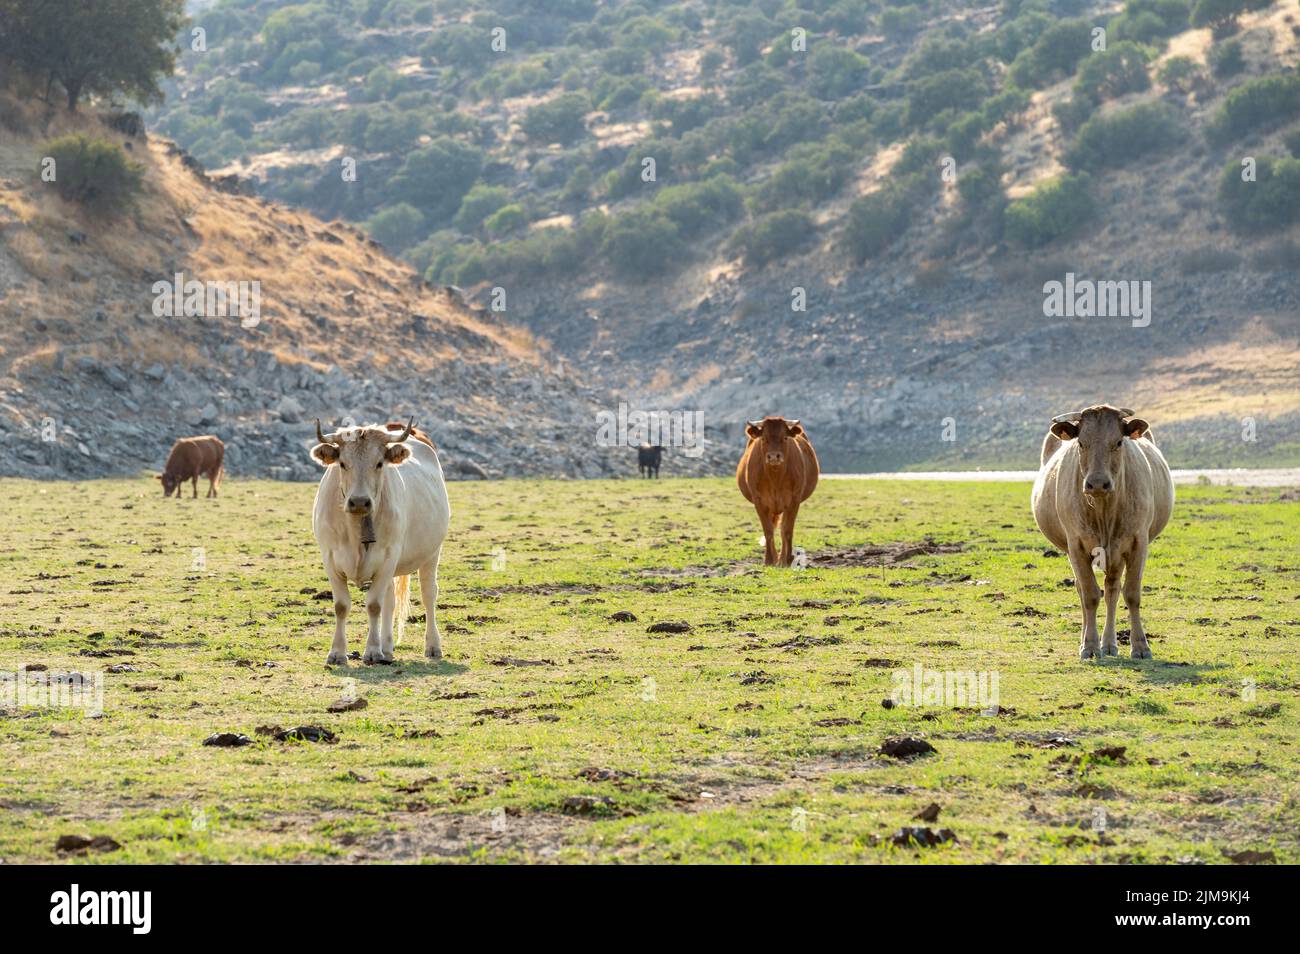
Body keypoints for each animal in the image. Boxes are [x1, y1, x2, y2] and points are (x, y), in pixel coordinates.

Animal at [310, 418, 451, 666]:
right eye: (342, 464)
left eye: (379, 464)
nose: (359, 501)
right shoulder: (330, 558)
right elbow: (341, 606)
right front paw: (337, 653)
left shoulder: (388, 557)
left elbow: (374, 605)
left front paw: (372, 651)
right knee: (390, 601)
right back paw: (387, 648)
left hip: (432, 553)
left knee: (428, 594)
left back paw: (432, 646)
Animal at [736, 416, 819, 567]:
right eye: (764, 438)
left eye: (785, 437)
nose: (774, 456)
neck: (775, 477)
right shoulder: (759, 501)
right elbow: (768, 530)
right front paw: (769, 560)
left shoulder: (794, 500)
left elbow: (786, 530)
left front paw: (787, 560)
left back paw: (781, 560)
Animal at [1031, 405, 1174, 660]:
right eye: (1080, 443)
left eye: (1118, 442)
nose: (1097, 483)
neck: (1103, 510)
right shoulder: (1076, 545)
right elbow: (1089, 595)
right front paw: (1089, 646)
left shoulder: (1138, 543)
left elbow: (1132, 594)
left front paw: (1140, 646)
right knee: (1084, 590)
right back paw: (1091, 642)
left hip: (1117, 554)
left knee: (1112, 591)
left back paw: (1109, 644)